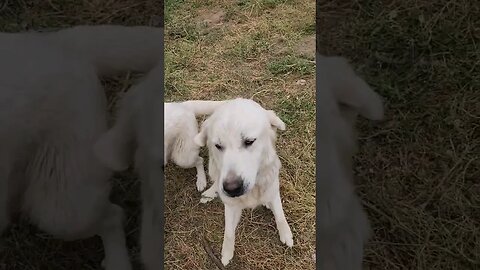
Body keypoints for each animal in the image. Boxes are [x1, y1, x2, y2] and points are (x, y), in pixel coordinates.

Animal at [192, 98, 292, 266]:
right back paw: (210, 192)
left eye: (249, 141)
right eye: (218, 146)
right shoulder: (231, 206)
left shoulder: (273, 190)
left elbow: (280, 215)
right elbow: (229, 232)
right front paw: (226, 254)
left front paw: (286, 234)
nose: (231, 188)